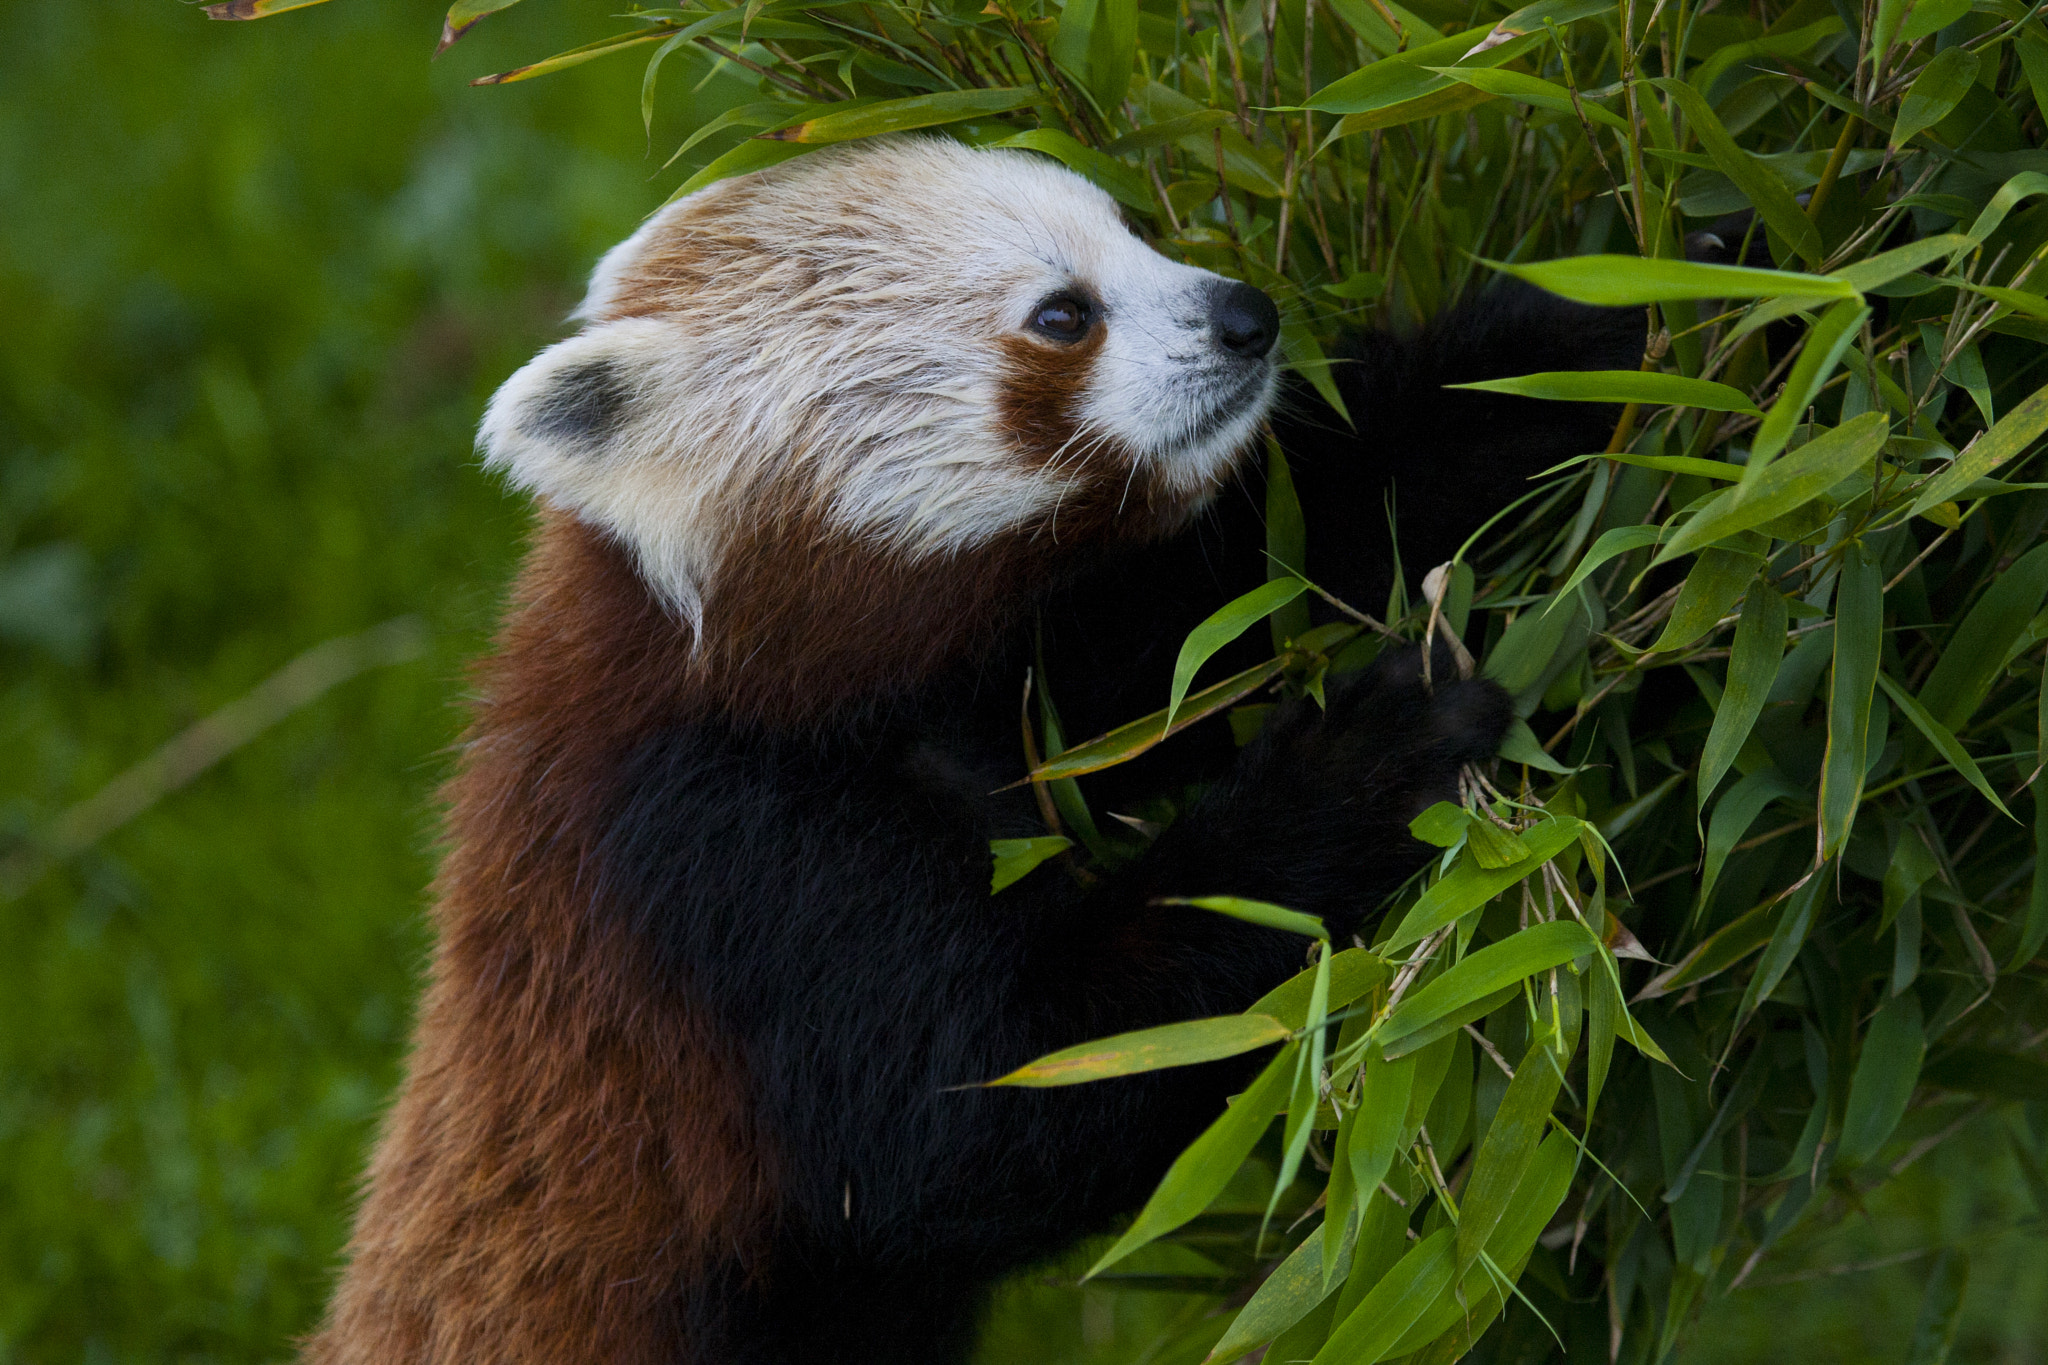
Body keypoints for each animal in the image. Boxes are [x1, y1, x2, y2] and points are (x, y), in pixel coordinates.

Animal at [304, 136, 1642, 1365]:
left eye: (1134, 227)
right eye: (1063, 315)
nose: (1246, 315)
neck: (748, 676)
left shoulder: (1035, 682)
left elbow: (1266, 568)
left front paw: (1600, 315)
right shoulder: (711, 866)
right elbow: (999, 1110)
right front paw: (1371, 756)